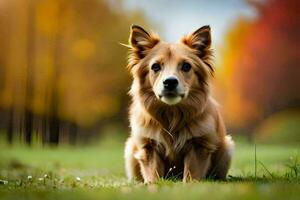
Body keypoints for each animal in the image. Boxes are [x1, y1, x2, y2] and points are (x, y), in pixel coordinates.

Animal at [124, 24, 234, 183]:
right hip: (130, 148)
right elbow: (152, 173)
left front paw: (190, 184)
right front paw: (152, 184)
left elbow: (191, 172)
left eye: (186, 66)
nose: (170, 82)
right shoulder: (148, 146)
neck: (172, 114)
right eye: (155, 67)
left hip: (227, 148)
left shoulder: (199, 145)